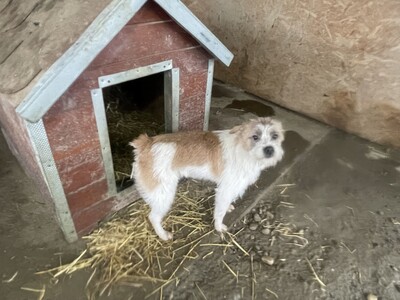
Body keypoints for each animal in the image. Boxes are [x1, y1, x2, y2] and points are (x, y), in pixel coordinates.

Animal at [130, 117, 284, 241]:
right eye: (255, 137)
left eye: (275, 136)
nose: (269, 149)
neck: (243, 148)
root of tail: (146, 143)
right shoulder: (225, 189)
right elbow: (220, 212)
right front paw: (219, 227)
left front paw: (228, 207)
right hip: (163, 193)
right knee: (153, 217)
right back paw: (163, 235)